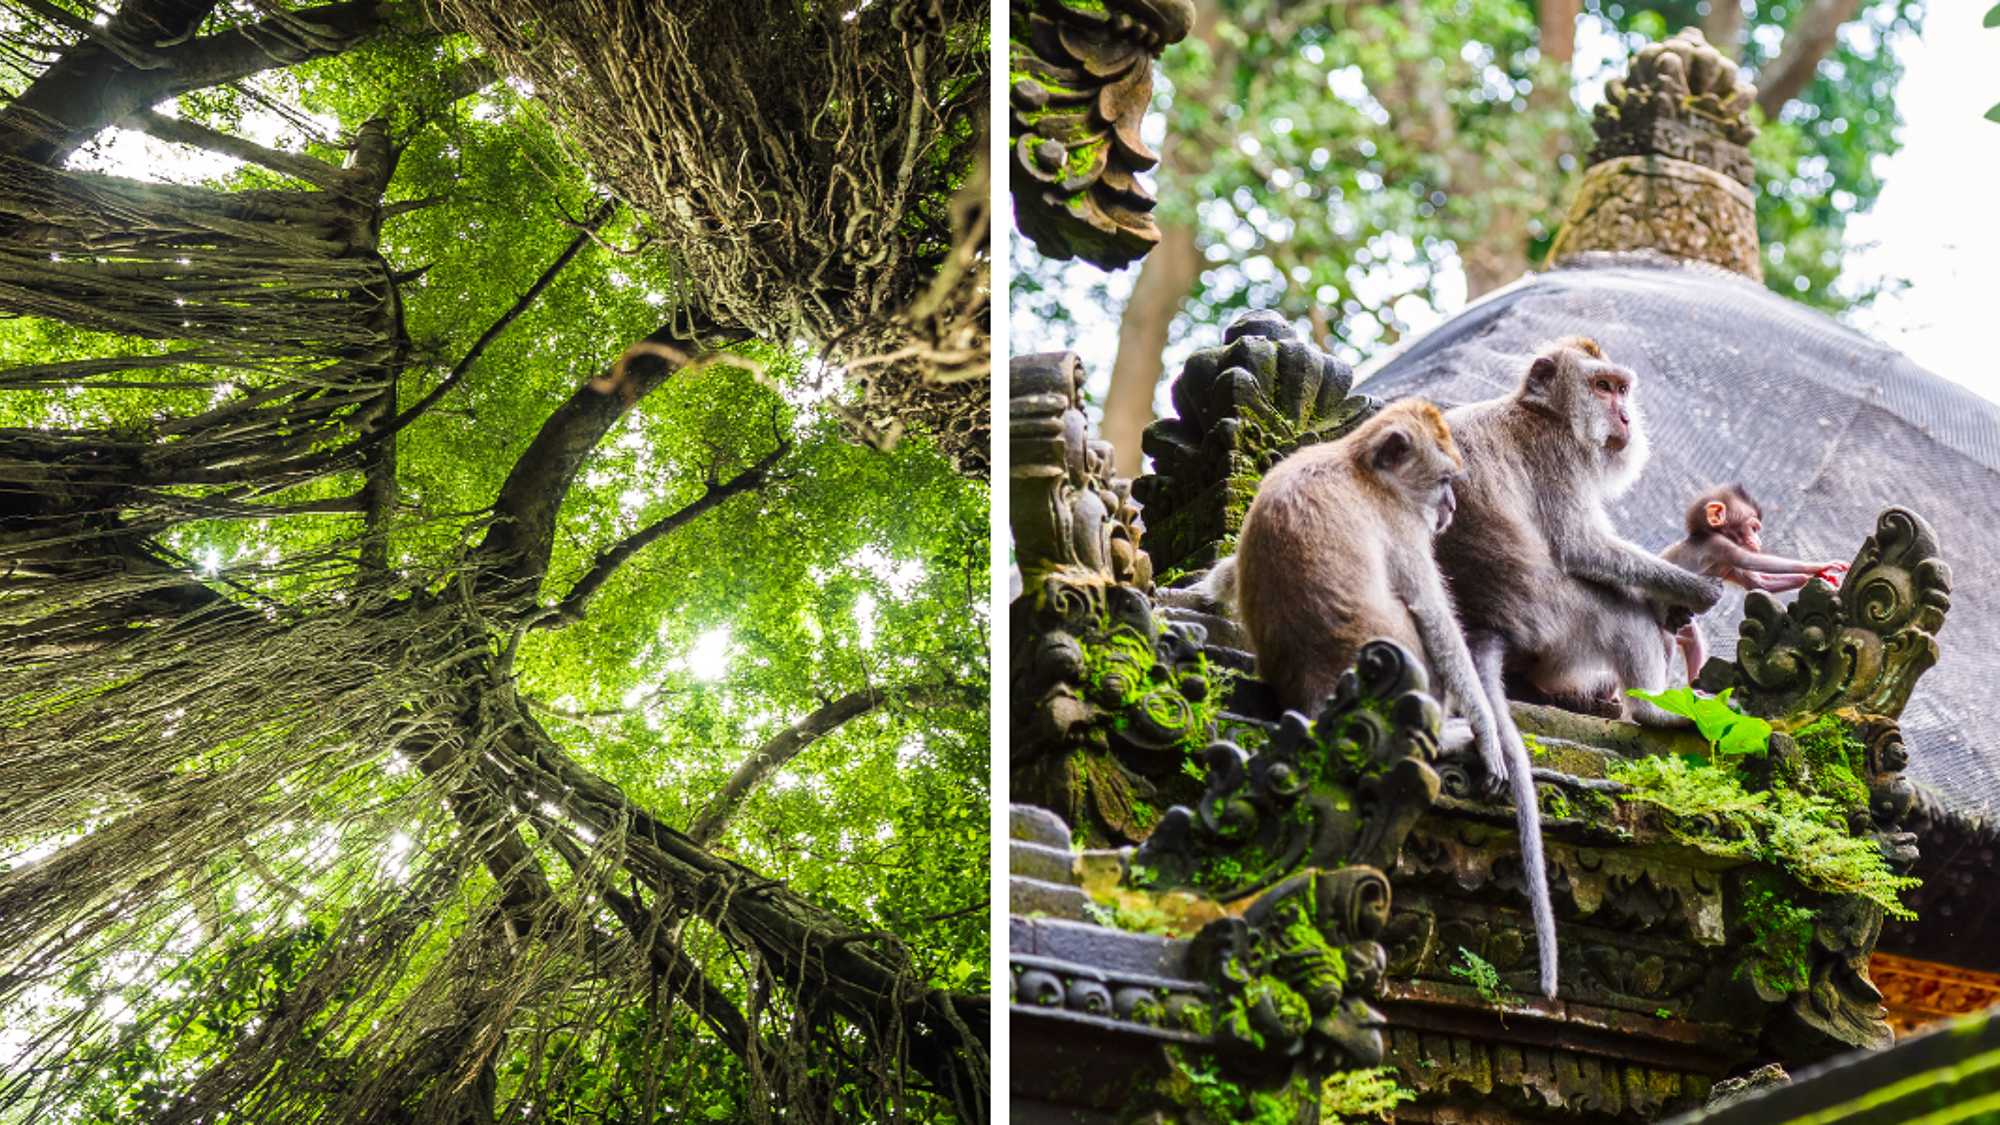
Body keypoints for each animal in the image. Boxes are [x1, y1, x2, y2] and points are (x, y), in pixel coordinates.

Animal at [1233, 397, 1561, 998]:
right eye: (1445, 481)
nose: (1451, 506)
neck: (1358, 465)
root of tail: (1317, 705)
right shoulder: (1403, 525)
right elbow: (1433, 615)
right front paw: (1486, 731)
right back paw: (1455, 734)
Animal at [1655, 483, 1849, 683]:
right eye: (1753, 528)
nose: (1758, 541)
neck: (1708, 534)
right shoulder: (1720, 545)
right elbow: (1750, 561)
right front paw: (1820, 566)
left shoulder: (1729, 564)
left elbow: (1757, 583)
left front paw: (1814, 576)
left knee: (1691, 637)